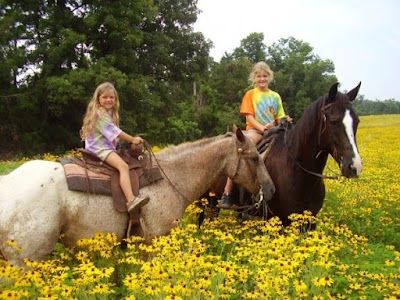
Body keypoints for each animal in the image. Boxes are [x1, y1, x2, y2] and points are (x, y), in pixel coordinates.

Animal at [200, 82, 362, 227]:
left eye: (357, 121)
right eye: (333, 121)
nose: (354, 166)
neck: (297, 172)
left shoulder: (309, 221)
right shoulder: (275, 220)